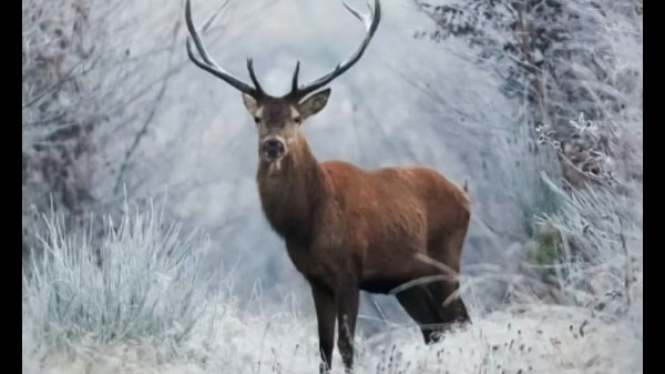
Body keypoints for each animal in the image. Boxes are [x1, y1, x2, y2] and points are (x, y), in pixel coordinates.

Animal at [184, 0, 470, 372]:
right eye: (258, 118)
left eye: (296, 118)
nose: (273, 145)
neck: (306, 222)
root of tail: (465, 196)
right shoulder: (315, 279)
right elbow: (323, 347)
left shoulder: (349, 272)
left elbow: (347, 346)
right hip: (408, 281)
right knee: (435, 328)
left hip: (446, 259)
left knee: (461, 320)